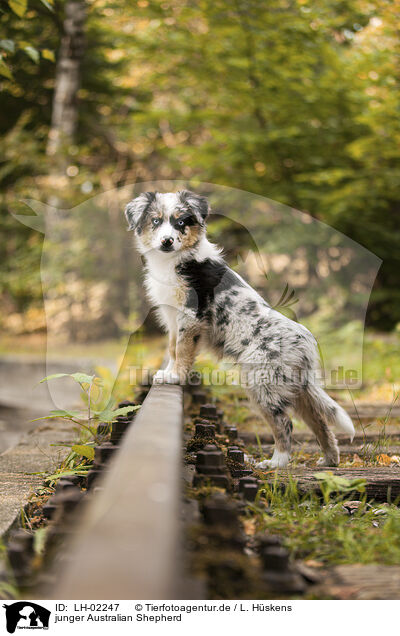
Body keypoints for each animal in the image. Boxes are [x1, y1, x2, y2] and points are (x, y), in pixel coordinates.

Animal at [125, 189, 354, 468]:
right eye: (156, 221)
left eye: (181, 222)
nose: (167, 241)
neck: (176, 259)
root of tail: (306, 342)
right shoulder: (171, 317)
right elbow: (172, 348)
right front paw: (166, 373)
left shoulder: (191, 316)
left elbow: (182, 350)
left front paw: (175, 377)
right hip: (294, 385)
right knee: (318, 420)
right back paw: (329, 460)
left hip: (262, 381)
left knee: (285, 423)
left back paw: (276, 462)